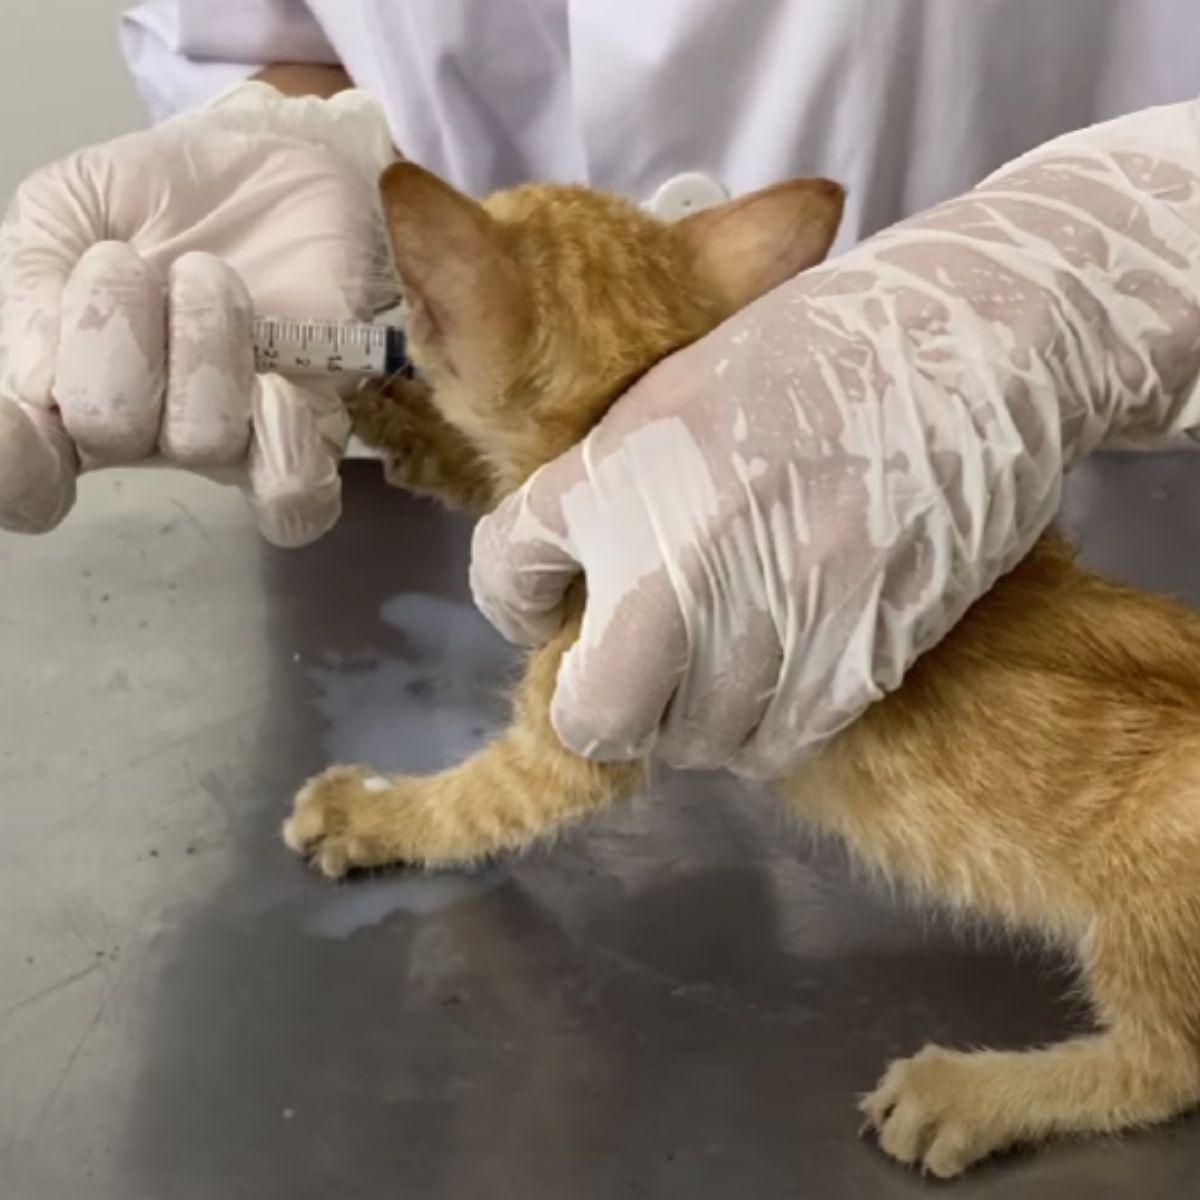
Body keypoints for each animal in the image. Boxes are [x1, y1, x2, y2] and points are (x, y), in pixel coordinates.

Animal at [283, 164, 1200, 1176]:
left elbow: (471, 806)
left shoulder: (586, 720)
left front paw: (372, 814)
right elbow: (493, 483)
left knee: (1167, 1066)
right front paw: (400, 421)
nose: (385, 331)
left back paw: (974, 1092)